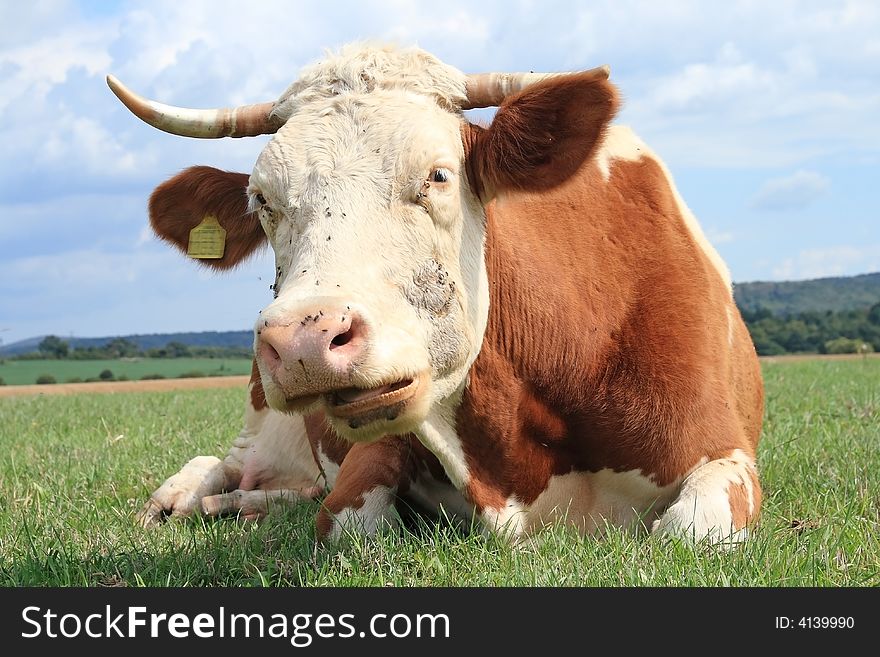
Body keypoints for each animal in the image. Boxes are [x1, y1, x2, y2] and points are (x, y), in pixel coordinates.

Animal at [111, 39, 764, 544]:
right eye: (262, 200)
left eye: (438, 175)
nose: (302, 341)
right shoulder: (376, 444)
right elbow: (349, 521)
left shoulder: (724, 451)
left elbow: (689, 530)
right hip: (259, 423)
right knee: (221, 465)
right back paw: (190, 498)